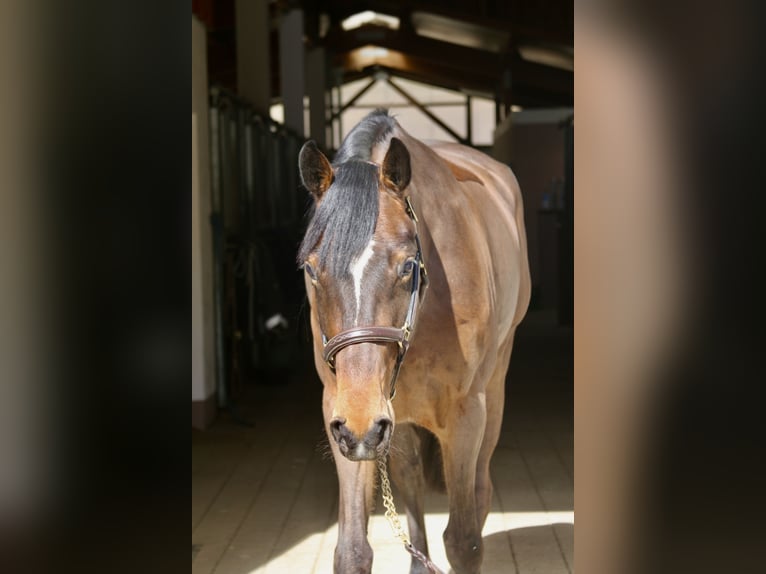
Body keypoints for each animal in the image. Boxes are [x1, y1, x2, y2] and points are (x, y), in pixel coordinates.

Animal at [296, 109, 532, 574]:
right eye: (311, 269)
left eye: (407, 266)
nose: (360, 425)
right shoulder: (343, 414)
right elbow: (353, 551)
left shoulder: (464, 415)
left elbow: (463, 542)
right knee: (409, 481)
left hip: (491, 389)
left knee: (481, 487)